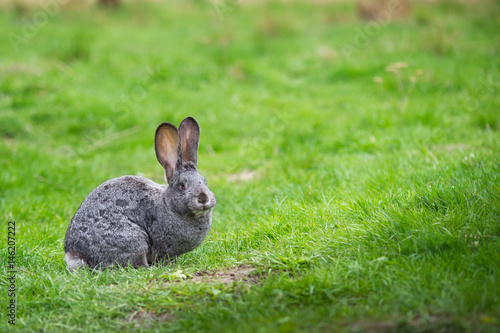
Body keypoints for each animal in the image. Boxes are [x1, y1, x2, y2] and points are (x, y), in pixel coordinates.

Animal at [64, 116, 217, 270]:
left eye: (205, 181)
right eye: (183, 186)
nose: (203, 198)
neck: (168, 205)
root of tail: (76, 255)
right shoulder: (163, 246)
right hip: (132, 240)